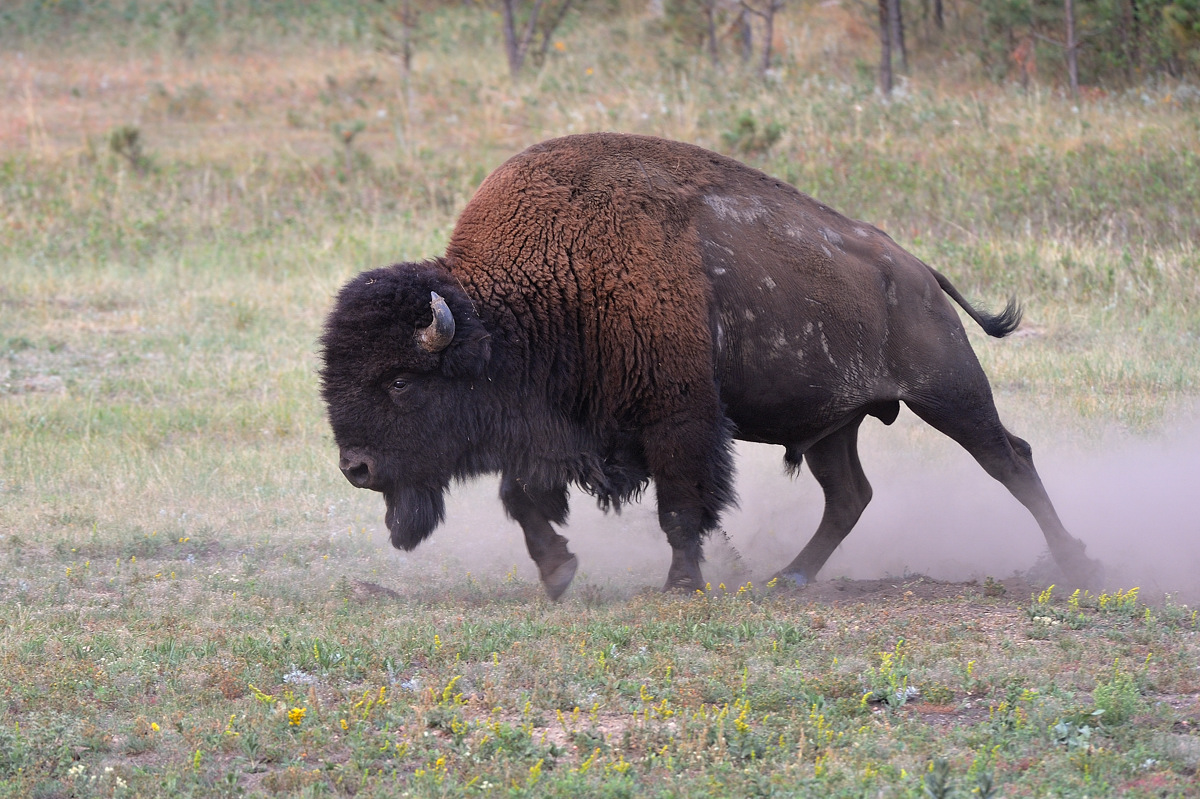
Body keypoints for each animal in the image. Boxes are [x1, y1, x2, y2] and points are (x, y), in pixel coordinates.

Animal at [319, 133, 1101, 599]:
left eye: (399, 380)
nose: (355, 467)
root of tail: (914, 269)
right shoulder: (549, 432)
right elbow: (524, 499)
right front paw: (561, 573)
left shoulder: (677, 418)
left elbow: (680, 505)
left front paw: (680, 583)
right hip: (834, 425)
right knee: (850, 495)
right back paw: (788, 579)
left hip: (948, 393)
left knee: (1010, 459)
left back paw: (1078, 562)